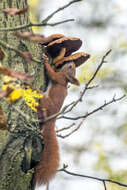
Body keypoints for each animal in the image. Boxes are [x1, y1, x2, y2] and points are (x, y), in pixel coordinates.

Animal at [34, 53, 79, 186]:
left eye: (70, 67)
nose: (72, 62)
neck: (65, 78)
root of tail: (52, 120)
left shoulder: (58, 77)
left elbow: (51, 73)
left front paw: (46, 60)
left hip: (45, 101)